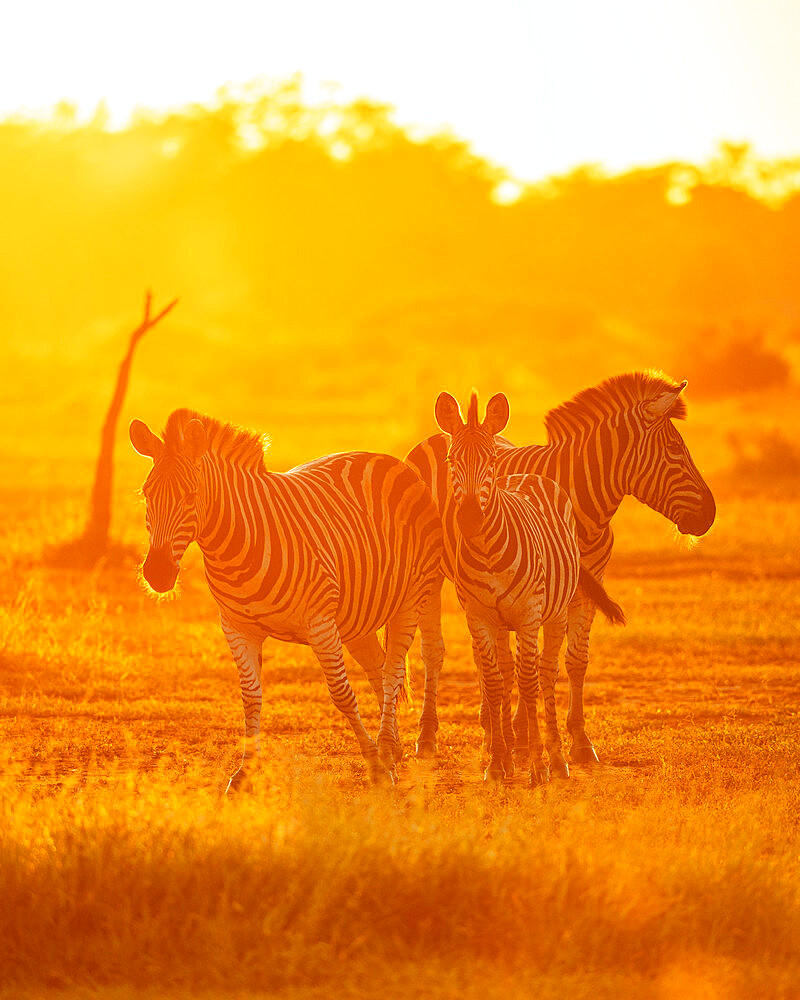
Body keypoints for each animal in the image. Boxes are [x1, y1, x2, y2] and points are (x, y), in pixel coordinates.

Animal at [130, 406, 444, 788]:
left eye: (191, 495)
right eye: (147, 494)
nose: (157, 574)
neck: (236, 545)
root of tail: (392, 460)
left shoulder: (319, 623)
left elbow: (341, 694)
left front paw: (373, 765)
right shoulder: (237, 628)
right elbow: (251, 697)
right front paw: (245, 772)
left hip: (412, 597)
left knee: (393, 671)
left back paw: (386, 749)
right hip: (357, 618)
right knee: (379, 669)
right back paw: (393, 749)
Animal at [410, 372, 716, 760]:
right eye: (675, 449)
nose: (710, 515)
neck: (581, 501)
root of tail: (436, 436)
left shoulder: (584, 586)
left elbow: (573, 660)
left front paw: (578, 739)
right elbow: (529, 664)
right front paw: (526, 736)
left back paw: (491, 727)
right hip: (432, 576)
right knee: (434, 650)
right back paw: (429, 735)